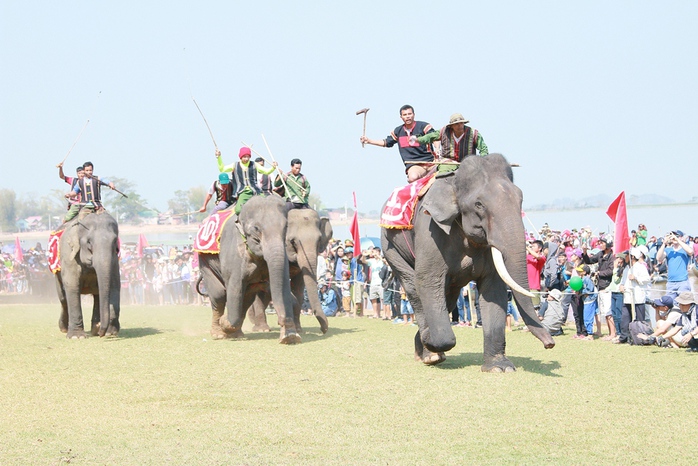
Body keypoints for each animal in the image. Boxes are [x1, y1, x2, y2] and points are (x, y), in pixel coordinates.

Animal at [198, 195, 300, 344]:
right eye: (256, 228)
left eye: (286, 226)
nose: (282, 321)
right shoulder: (233, 254)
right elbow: (234, 288)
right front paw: (224, 322)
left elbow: (283, 284)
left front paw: (290, 336)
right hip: (204, 261)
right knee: (219, 295)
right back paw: (218, 334)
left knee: (247, 297)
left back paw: (236, 334)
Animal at [380, 155, 556, 374]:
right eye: (479, 204)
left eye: (520, 199)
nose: (550, 344)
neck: (453, 180)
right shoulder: (430, 232)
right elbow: (429, 281)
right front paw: (430, 338)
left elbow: (493, 289)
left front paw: (499, 368)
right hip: (390, 246)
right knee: (414, 287)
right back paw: (430, 353)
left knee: (448, 297)